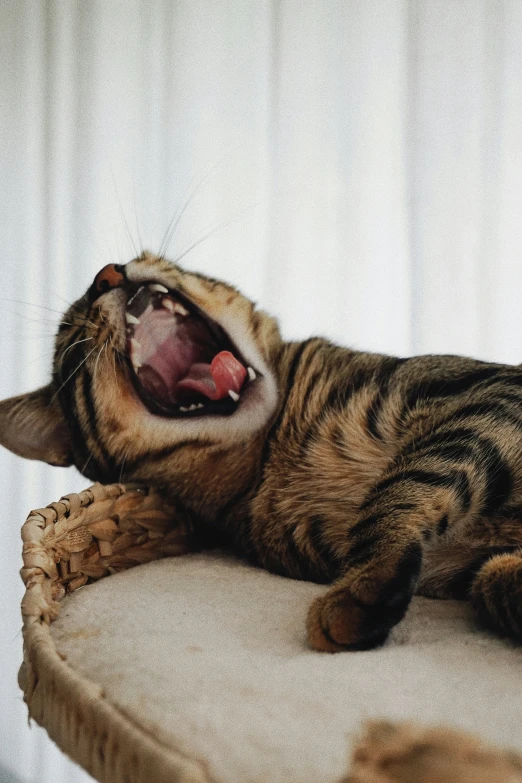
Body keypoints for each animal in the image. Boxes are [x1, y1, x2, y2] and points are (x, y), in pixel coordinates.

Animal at [1, 254, 520, 652]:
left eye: (143, 253)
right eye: (72, 343)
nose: (105, 273)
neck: (278, 444)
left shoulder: (488, 396)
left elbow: (404, 485)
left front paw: (362, 585)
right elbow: (483, 578)